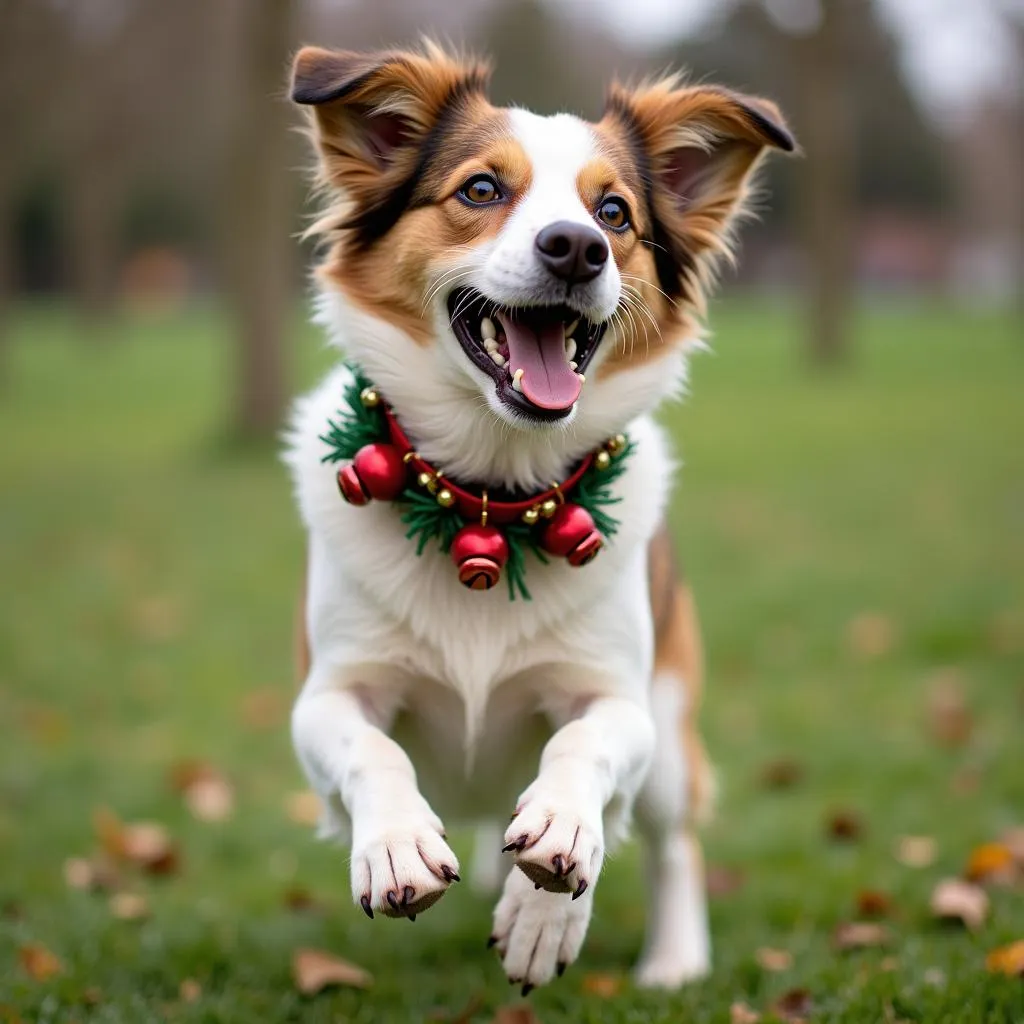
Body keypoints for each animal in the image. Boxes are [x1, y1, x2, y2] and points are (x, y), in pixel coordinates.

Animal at [284, 41, 794, 991]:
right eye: (482, 189)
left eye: (614, 211)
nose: (577, 247)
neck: (490, 497)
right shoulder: (326, 693)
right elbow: (374, 750)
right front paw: (398, 846)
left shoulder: (622, 701)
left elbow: (580, 750)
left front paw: (547, 896)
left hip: (671, 735)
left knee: (672, 842)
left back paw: (673, 960)